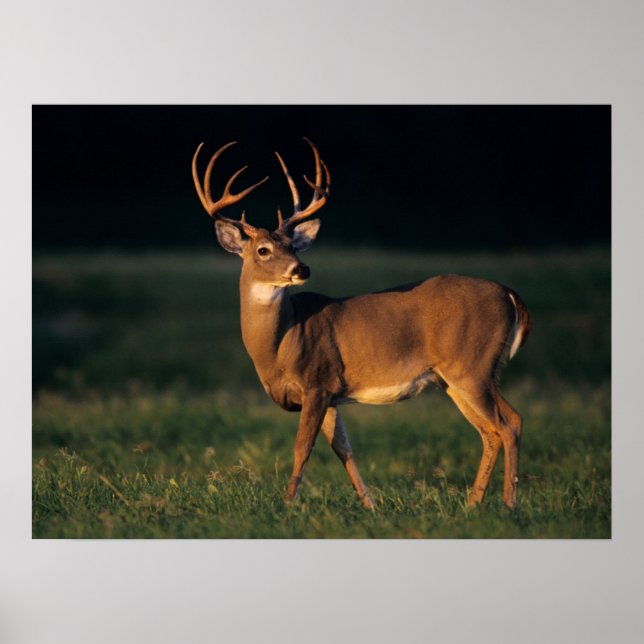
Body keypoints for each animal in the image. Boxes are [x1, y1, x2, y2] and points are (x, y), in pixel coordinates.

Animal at [192, 138, 531, 510]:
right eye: (263, 250)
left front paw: (288, 503)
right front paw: (369, 505)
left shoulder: (317, 381)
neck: (280, 344)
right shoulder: (330, 394)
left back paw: (509, 503)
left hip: (472, 366)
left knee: (509, 423)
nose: (301, 268)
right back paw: (472, 504)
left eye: (294, 246)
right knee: (491, 430)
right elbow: (344, 450)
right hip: (454, 378)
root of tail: (509, 293)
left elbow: (302, 447)